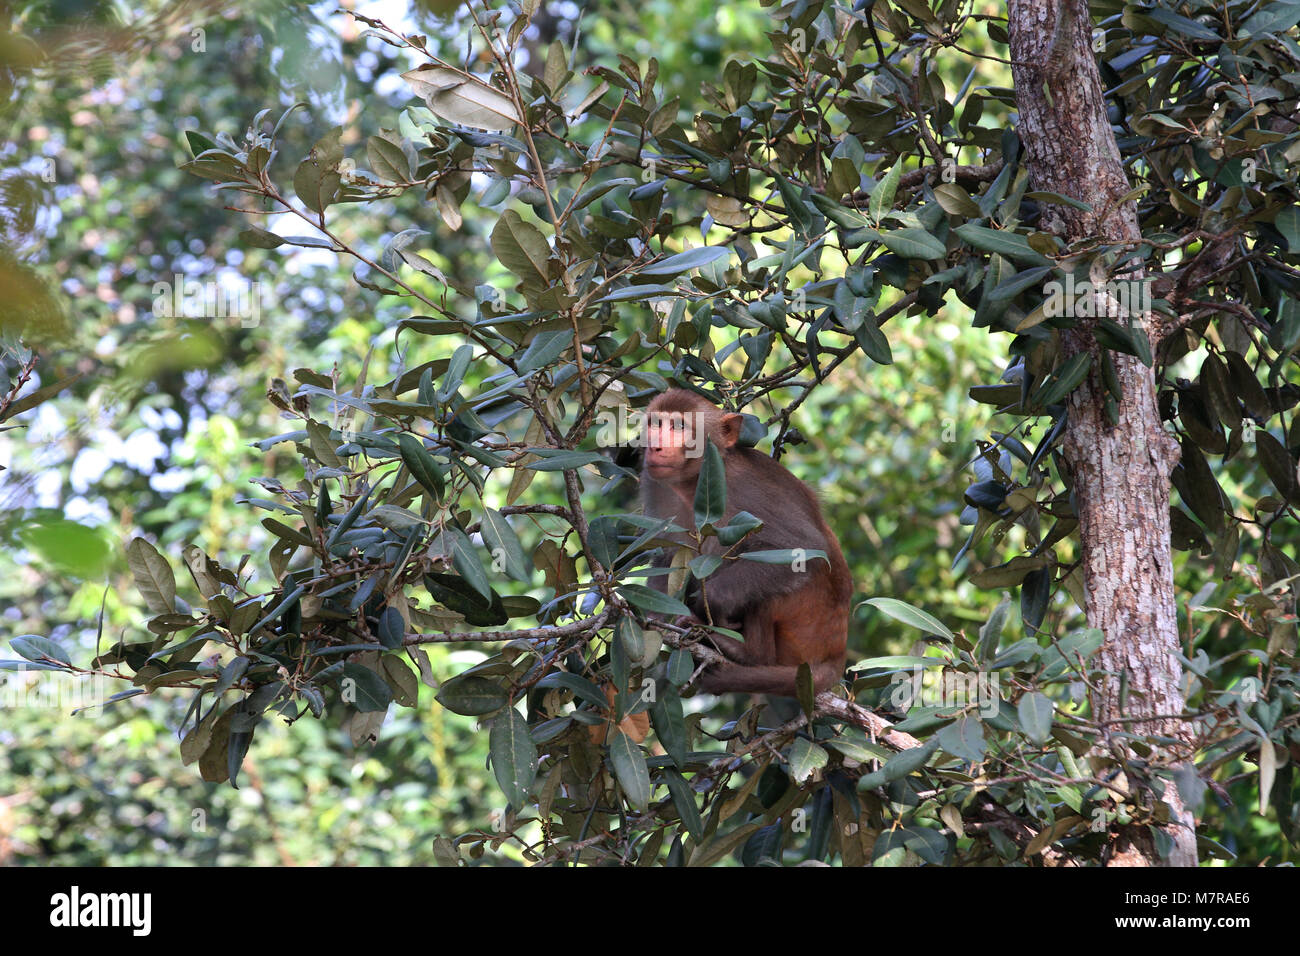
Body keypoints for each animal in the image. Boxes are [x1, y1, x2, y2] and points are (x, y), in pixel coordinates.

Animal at [639, 390, 852, 697]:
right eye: (655, 424)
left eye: (679, 427)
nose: (654, 447)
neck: (694, 483)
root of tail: (836, 653)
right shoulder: (656, 485)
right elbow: (667, 558)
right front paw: (659, 615)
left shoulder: (745, 488)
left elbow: (803, 546)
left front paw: (713, 602)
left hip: (807, 623)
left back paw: (747, 652)